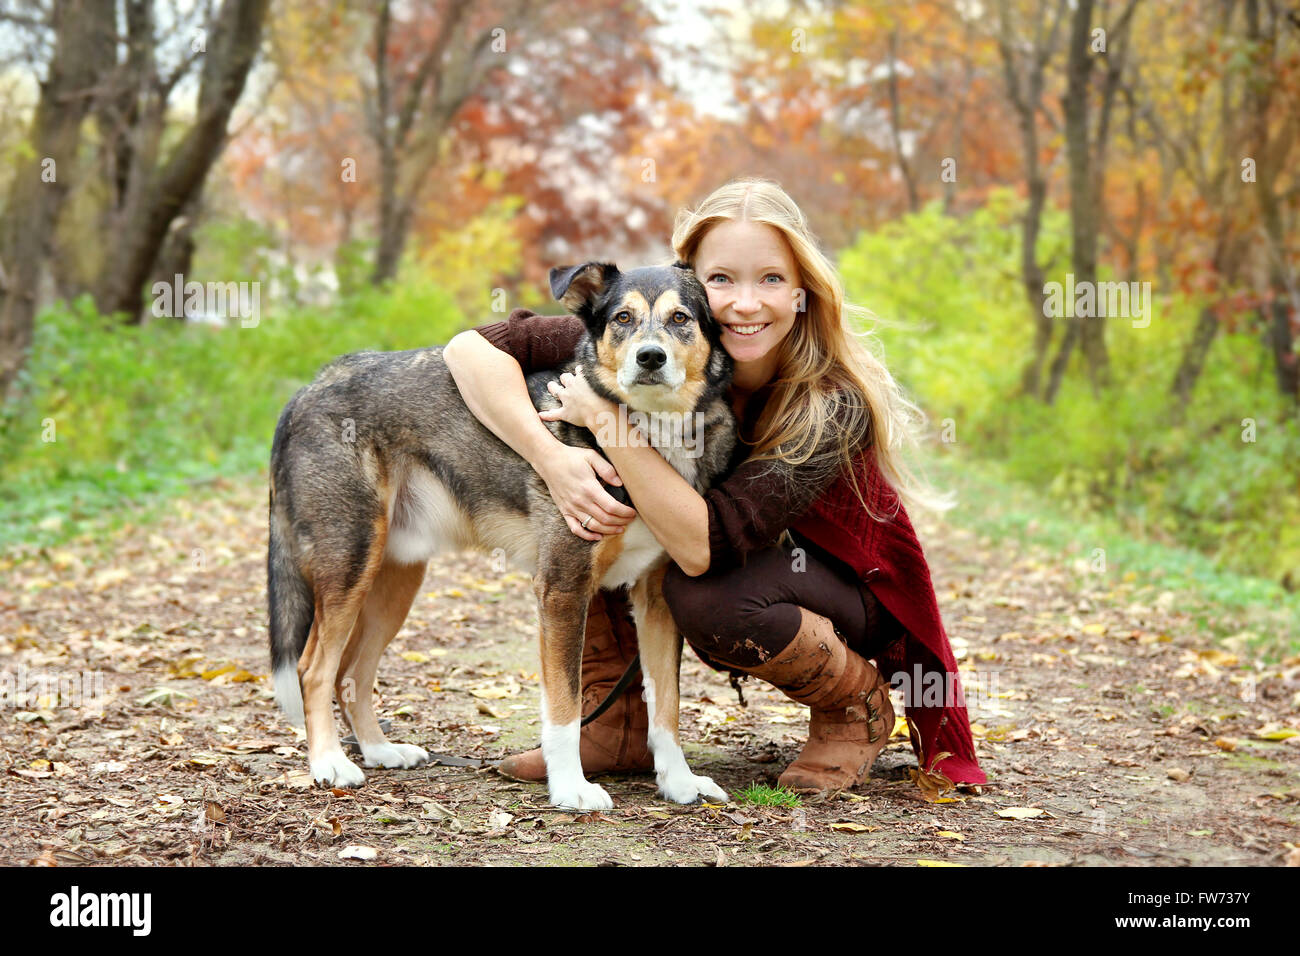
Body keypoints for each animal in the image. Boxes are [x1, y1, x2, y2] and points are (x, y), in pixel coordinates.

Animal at [265, 260, 738, 806]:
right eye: (623, 317)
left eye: (681, 318)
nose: (650, 357)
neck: (646, 439)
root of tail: (308, 389)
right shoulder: (562, 589)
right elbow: (565, 707)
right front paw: (570, 789)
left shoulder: (656, 599)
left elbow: (667, 705)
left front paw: (679, 781)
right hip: (351, 562)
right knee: (314, 669)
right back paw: (329, 763)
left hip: (393, 580)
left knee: (350, 673)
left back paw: (379, 750)